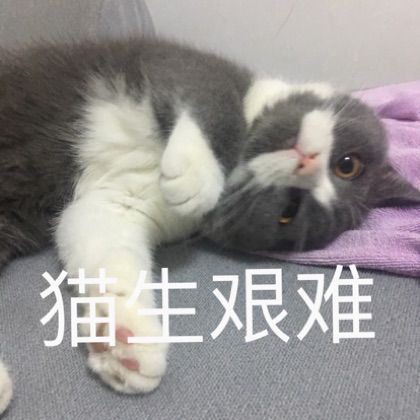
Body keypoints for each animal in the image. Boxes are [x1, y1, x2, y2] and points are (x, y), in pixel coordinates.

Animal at [0, 37, 419, 412]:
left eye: (289, 211)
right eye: (348, 164)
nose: (307, 162)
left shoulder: (121, 205)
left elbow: (103, 241)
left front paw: (124, 341)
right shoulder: (171, 59)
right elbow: (209, 94)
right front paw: (196, 174)